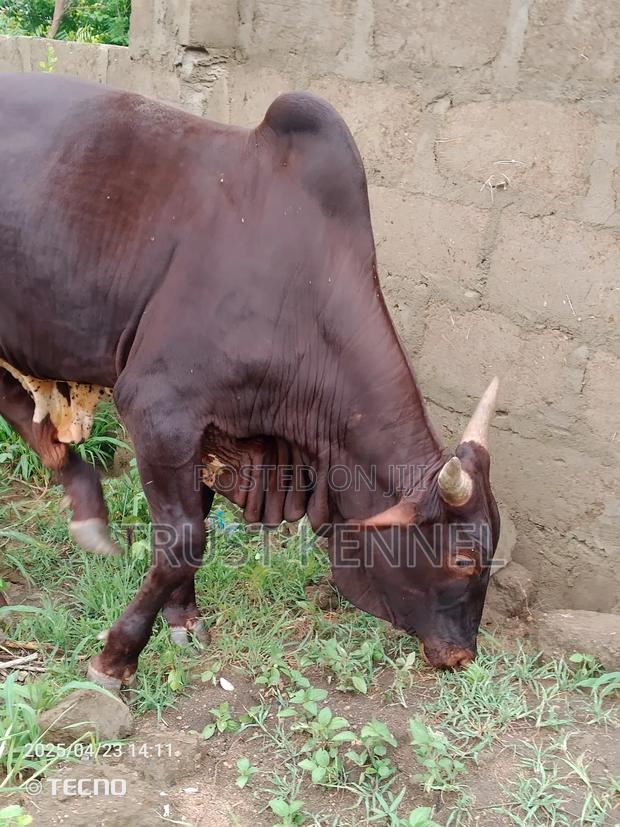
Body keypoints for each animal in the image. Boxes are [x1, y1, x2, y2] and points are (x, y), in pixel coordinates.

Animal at [0, 73, 501, 688]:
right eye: (463, 559)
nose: (462, 655)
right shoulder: (158, 408)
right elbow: (184, 538)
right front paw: (116, 655)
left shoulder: (205, 434)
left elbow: (187, 524)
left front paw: (183, 620)